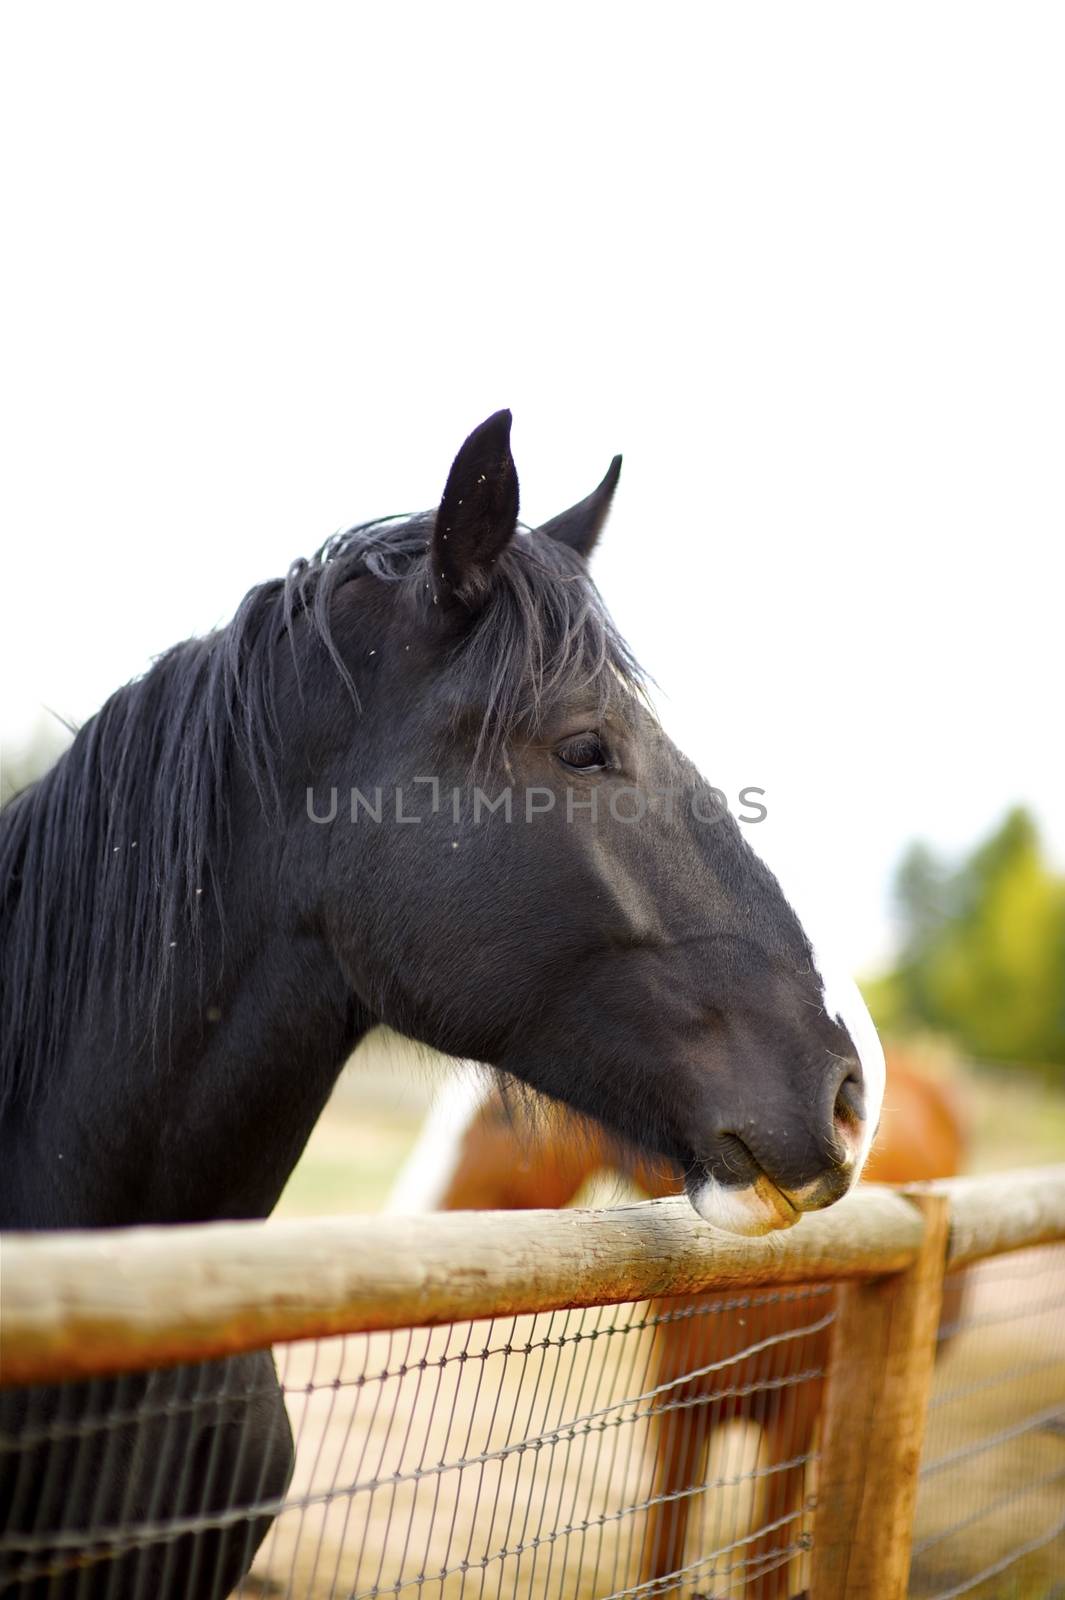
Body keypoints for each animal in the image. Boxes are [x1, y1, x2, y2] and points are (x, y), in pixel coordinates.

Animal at [388, 1049, 959, 1600]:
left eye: (502, 1116)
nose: (408, 1214)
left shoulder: (794, 1417)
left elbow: (764, 1565)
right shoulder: (676, 1410)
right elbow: (664, 1558)